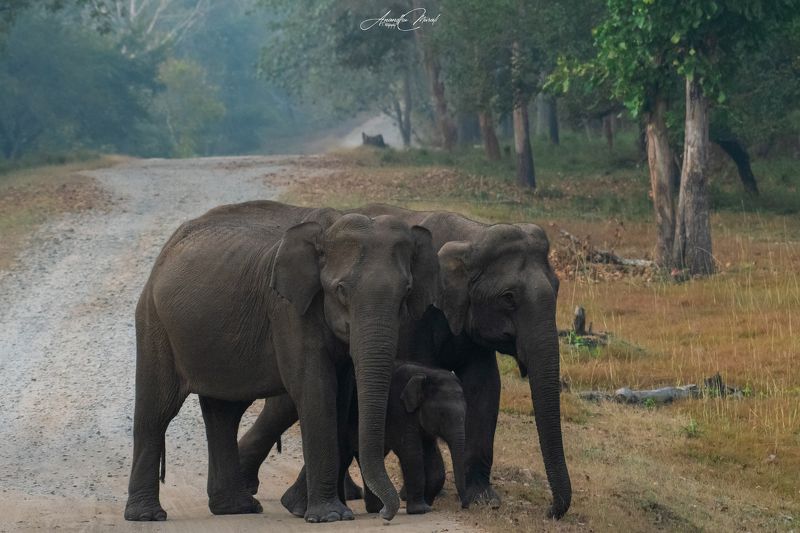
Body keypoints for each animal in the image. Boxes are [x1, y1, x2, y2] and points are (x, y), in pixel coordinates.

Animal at [123, 200, 439, 523]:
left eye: (407, 292)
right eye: (341, 290)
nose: (386, 513)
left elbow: (341, 397)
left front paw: (306, 509)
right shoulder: (287, 309)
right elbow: (316, 389)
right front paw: (328, 516)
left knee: (224, 413)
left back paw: (237, 508)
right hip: (154, 322)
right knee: (157, 410)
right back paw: (147, 516)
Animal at [237, 204, 572, 519]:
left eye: (558, 288)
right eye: (509, 297)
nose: (549, 511)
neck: (472, 235)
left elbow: (485, 387)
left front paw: (484, 500)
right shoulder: (415, 319)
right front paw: (423, 493)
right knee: (289, 403)